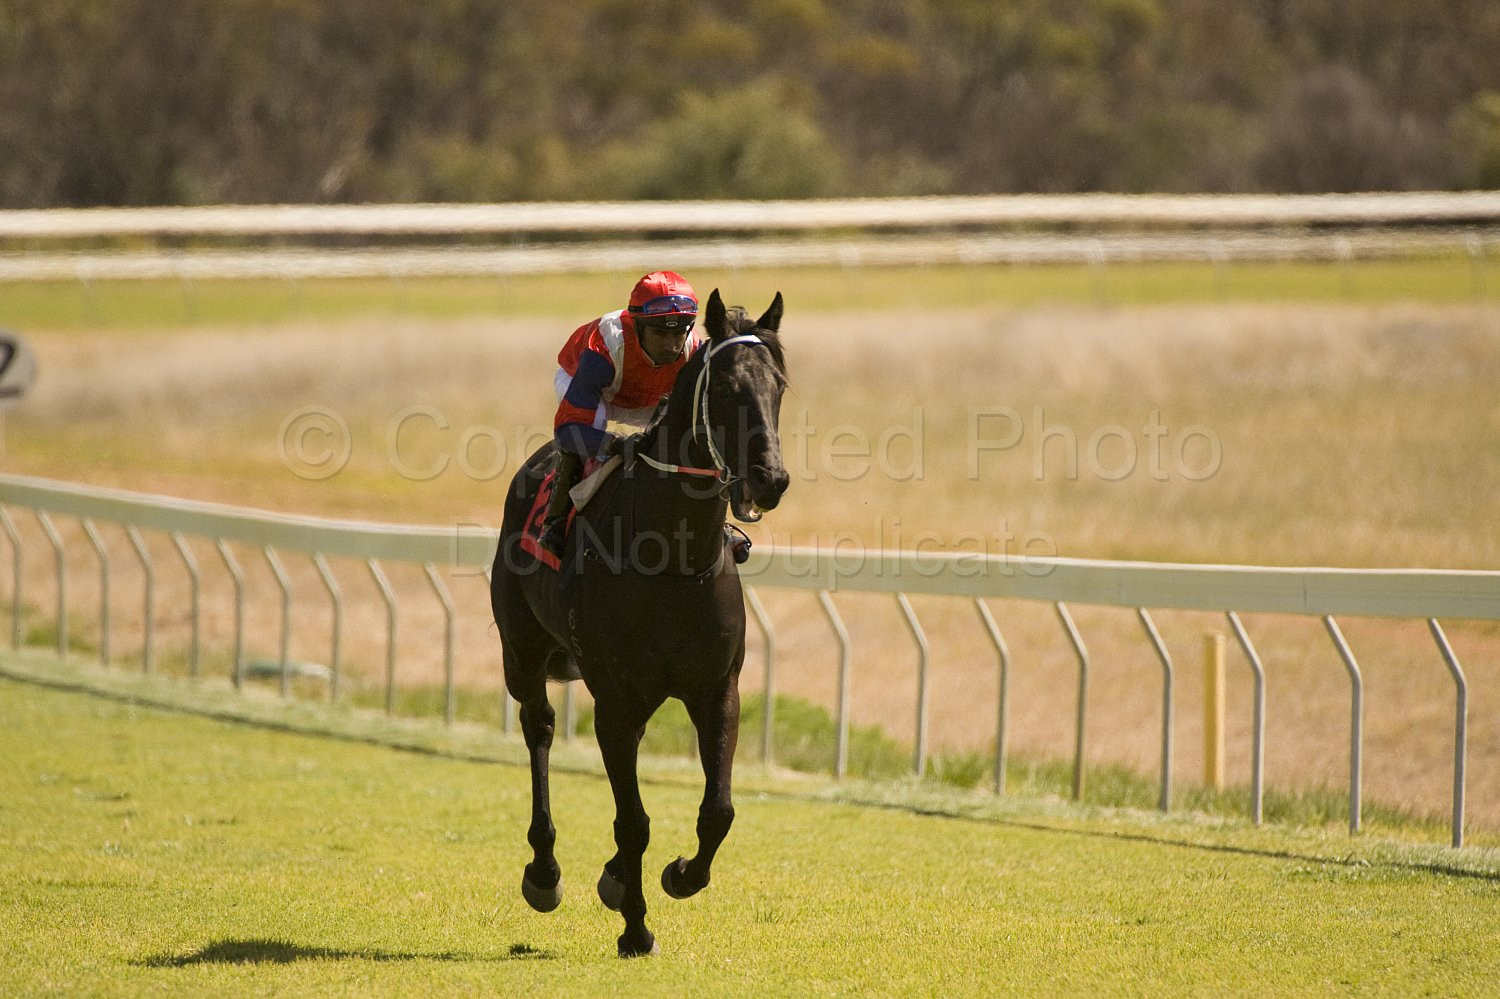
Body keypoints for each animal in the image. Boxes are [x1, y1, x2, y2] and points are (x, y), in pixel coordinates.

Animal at [489, 289, 789, 957]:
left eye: (779, 385)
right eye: (724, 389)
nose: (771, 479)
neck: (672, 557)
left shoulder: (716, 688)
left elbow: (718, 811)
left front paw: (677, 876)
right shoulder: (616, 700)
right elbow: (632, 821)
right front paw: (635, 926)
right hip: (522, 653)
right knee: (538, 728)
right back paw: (544, 871)